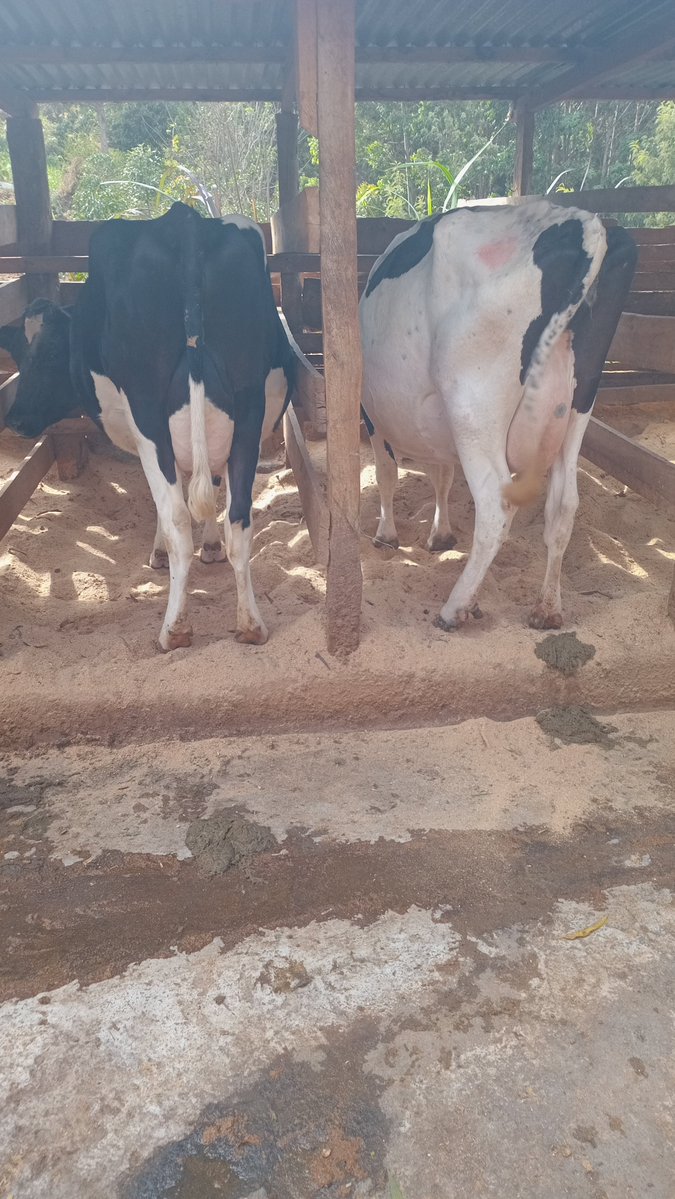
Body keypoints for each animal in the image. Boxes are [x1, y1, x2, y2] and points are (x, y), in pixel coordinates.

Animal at [0, 202, 295, 650]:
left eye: (50, 354)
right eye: (16, 352)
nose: (14, 420)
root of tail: (185, 222)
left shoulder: (137, 431)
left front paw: (158, 553)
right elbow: (212, 488)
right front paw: (211, 544)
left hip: (151, 417)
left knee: (177, 520)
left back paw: (174, 629)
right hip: (249, 409)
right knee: (239, 520)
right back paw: (250, 625)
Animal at [359, 199, 637, 631]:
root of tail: (581, 222)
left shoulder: (373, 415)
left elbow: (386, 473)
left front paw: (387, 535)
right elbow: (441, 476)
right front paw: (440, 535)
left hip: (473, 406)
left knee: (495, 508)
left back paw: (455, 607)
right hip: (578, 407)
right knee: (564, 506)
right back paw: (547, 609)